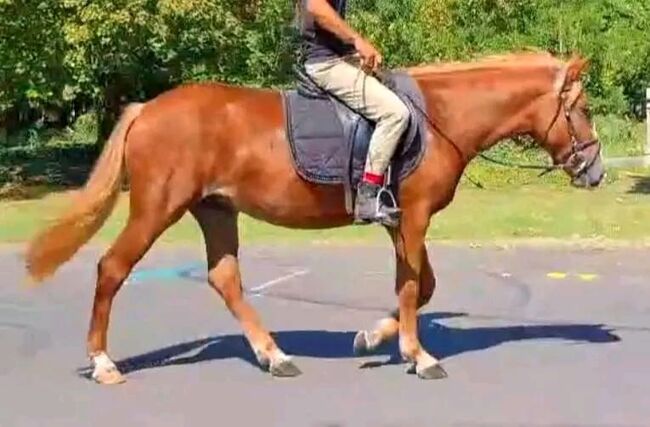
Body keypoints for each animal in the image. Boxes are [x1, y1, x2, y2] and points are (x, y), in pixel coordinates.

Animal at [24, 51, 604, 386]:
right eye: (582, 109)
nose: (595, 170)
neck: (438, 116)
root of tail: (147, 108)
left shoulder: (399, 222)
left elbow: (421, 286)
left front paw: (373, 339)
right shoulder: (412, 217)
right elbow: (412, 286)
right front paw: (419, 356)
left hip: (215, 210)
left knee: (224, 278)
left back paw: (274, 355)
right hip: (157, 208)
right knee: (112, 268)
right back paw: (103, 363)